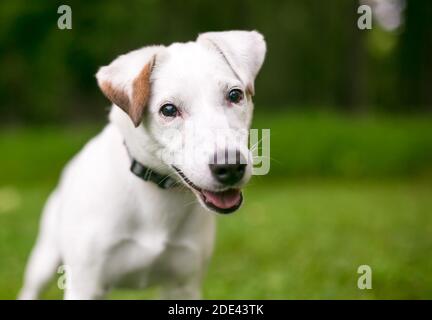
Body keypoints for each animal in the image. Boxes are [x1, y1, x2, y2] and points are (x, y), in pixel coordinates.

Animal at [18, 30, 266, 300]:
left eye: (235, 95)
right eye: (168, 109)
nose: (230, 167)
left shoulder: (182, 286)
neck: (156, 197)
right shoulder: (85, 285)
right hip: (44, 258)